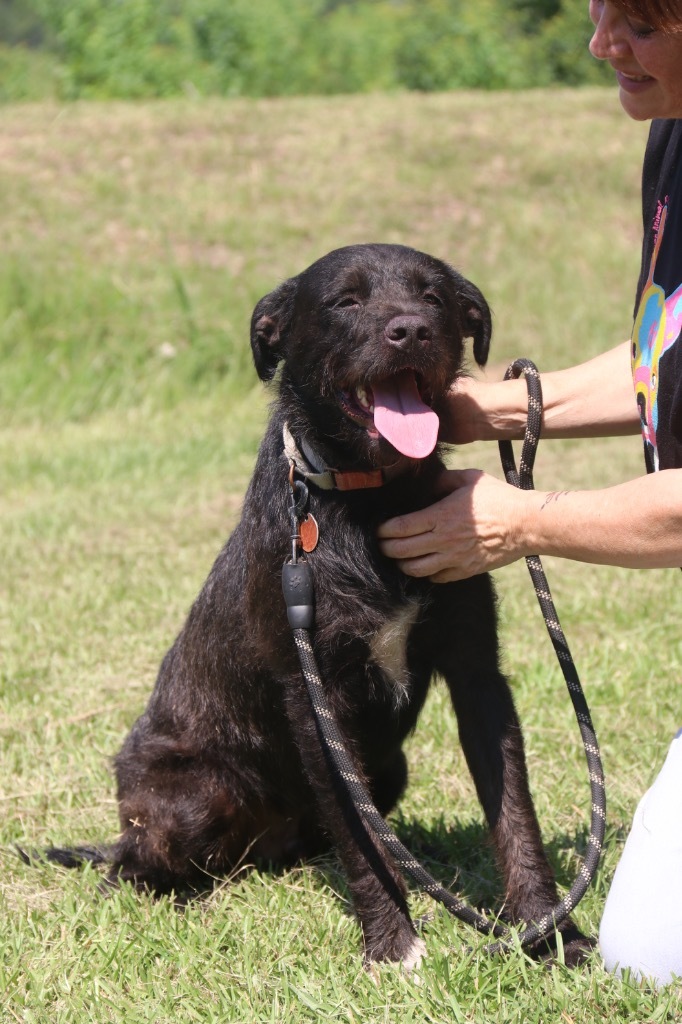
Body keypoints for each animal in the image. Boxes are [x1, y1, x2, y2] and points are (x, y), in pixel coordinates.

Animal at [57, 245, 585, 966]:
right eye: (346, 301)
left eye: (436, 297)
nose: (412, 330)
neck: (372, 498)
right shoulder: (317, 698)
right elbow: (363, 844)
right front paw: (393, 948)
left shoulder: (478, 674)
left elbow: (514, 816)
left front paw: (549, 932)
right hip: (189, 796)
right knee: (132, 866)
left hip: (389, 768)